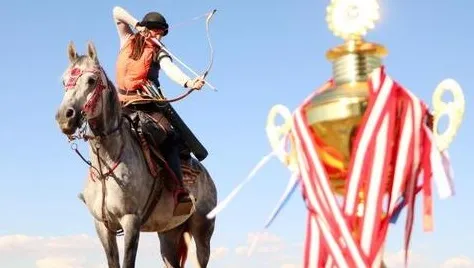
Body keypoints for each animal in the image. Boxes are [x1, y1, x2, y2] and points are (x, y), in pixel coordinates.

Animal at [54, 40, 218, 268]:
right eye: (64, 81)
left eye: (91, 80)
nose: (65, 117)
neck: (108, 165)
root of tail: (207, 176)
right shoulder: (103, 226)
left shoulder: (131, 220)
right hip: (168, 234)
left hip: (202, 231)